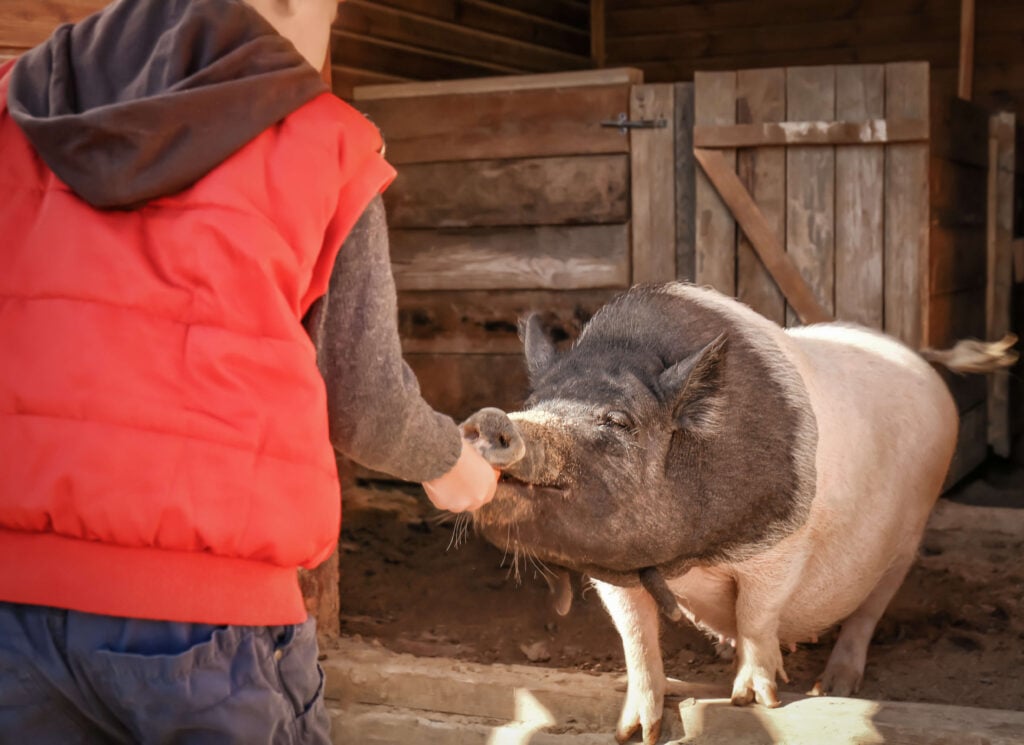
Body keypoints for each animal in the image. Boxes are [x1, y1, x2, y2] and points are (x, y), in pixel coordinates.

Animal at [462, 280, 1015, 745]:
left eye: (618, 420)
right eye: (534, 401)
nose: (491, 419)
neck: (687, 558)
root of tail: (918, 356)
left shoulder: (782, 546)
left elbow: (757, 613)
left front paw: (753, 701)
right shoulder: (614, 573)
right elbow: (636, 635)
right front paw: (633, 732)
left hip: (909, 536)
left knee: (868, 612)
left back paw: (831, 686)